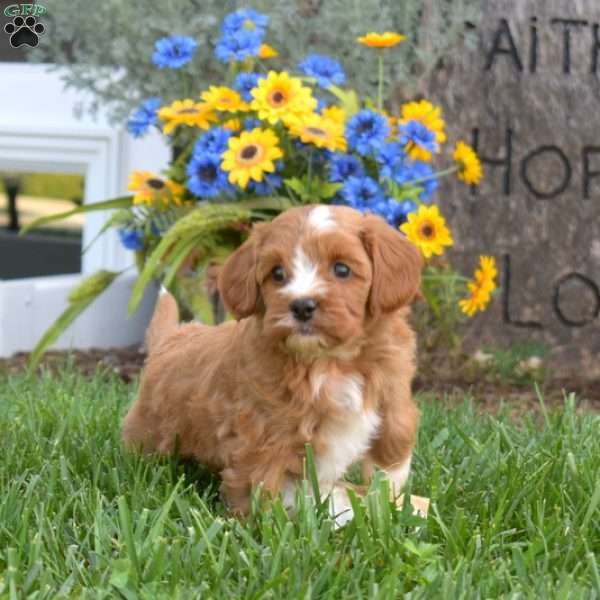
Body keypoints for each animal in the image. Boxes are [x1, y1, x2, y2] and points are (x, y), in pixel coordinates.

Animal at [122, 204, 422, 524]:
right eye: (277, 274)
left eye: (342, 269)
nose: (301, 305)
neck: (330, 362)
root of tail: (172, 337)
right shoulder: (263, 428)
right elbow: (262, 479)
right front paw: (264, 523)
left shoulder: (392, 387)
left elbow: (395, 436)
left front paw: (389, 501)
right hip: (149, 429)